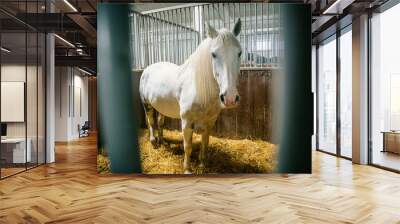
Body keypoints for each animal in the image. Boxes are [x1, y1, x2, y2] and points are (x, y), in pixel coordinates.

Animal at [139, 19, 242, 173]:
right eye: (213, 54)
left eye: (239, 53)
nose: (230, 98)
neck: (199, 89)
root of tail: (147, 69)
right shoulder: (187, 123)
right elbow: (187, 147)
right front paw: (187, 169)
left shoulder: (209, 122)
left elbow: (205, 142)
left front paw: (202, 164)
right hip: (147, 105)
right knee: (151, 122)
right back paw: (154, 143)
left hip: (161, 107)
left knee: (160, 122)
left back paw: (162, 141)